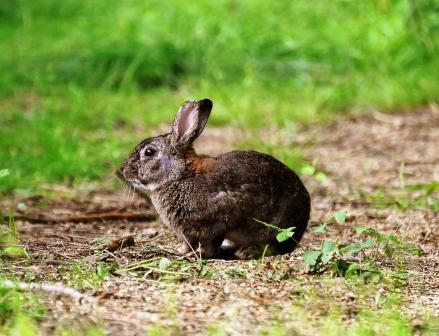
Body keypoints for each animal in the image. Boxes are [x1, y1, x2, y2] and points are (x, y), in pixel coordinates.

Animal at [117, 98, 310, 258]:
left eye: (149, 152)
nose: (123, 170)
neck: (180, 175)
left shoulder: (218, 222)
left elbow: (210, 244)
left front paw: (196, 255)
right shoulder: (186, 232)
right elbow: (187, 243)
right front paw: (179, 251)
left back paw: (246, 251)